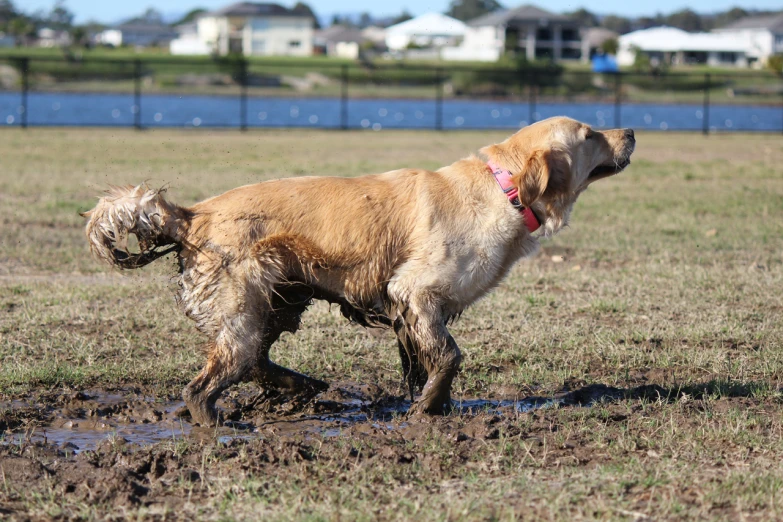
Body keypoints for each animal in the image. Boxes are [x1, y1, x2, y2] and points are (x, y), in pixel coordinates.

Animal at [82, 117, 636, 422]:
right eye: (590, 133)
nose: (631, 130)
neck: (503, 188)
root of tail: (191, 213)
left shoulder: (412, 311)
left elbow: (424, 362)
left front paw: (430, 405)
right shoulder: (415, 291)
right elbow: (450, 357)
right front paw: (427, 409)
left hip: (278, 302)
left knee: (257, 361)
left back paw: (300, 387)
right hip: (243, 312)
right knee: (205, 385)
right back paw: (217, 425)